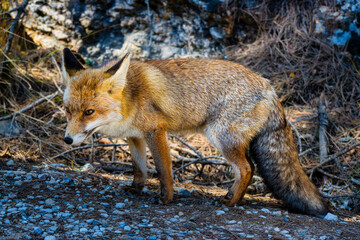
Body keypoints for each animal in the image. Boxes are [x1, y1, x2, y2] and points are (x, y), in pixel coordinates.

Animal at [62, 47, 330, 217]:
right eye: (67, 110)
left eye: (89, 112)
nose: (67, 139)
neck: (130, 98)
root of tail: (268, 86)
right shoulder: (135, 136)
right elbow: (139, 169)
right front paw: (136, 189)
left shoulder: (156, 130)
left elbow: (163, 170)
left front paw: (166, 198)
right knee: (250, 169)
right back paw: (234, 197)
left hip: (221, 139)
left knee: (246, 168)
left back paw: (231, 202)